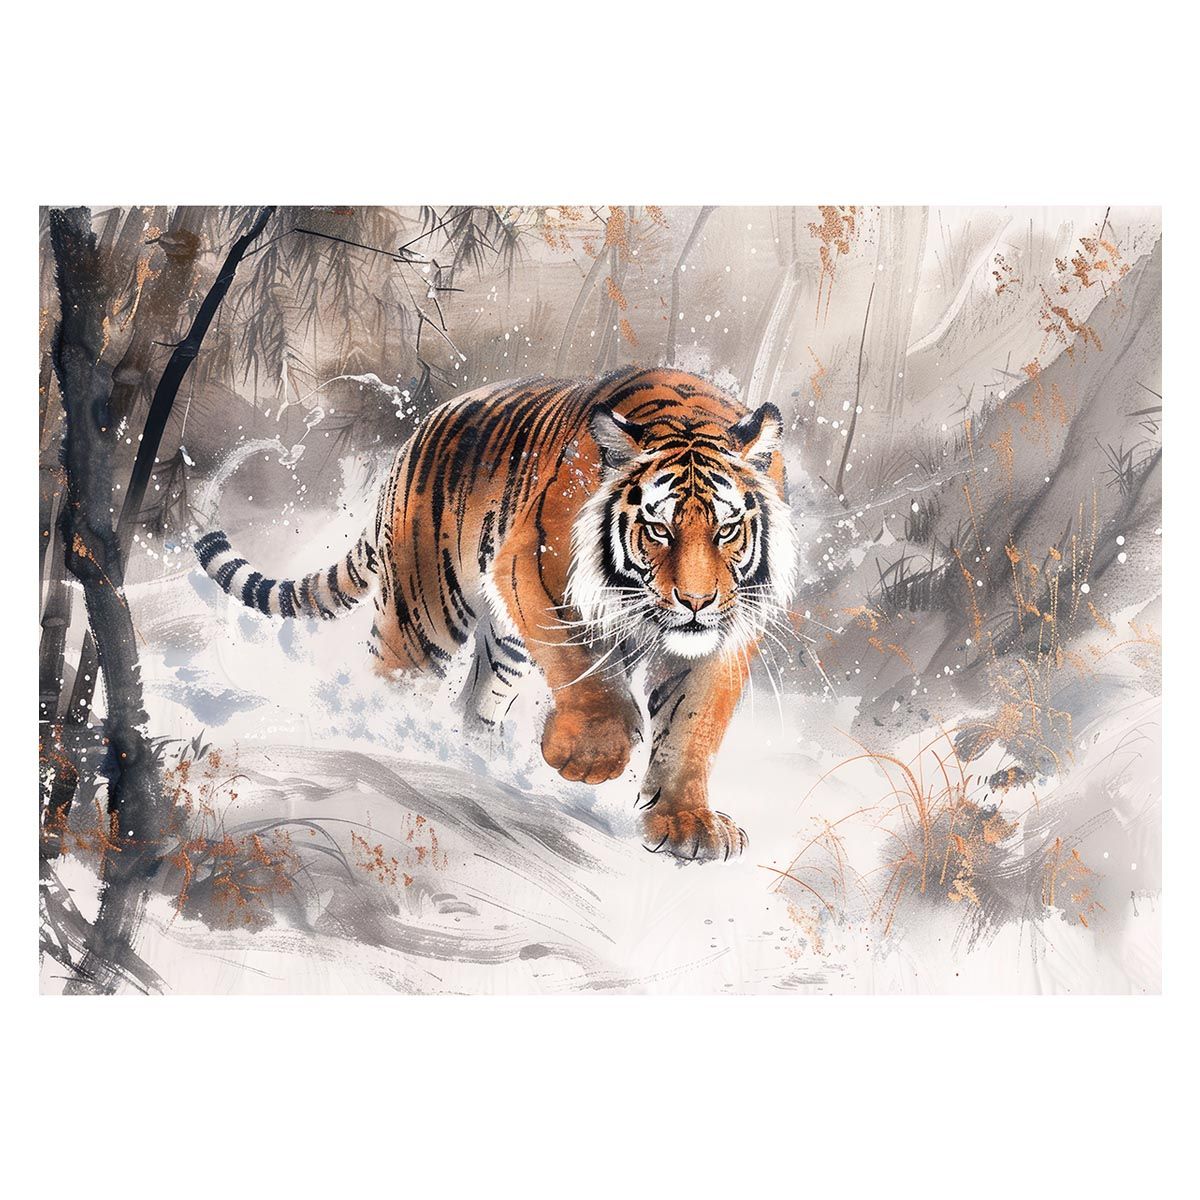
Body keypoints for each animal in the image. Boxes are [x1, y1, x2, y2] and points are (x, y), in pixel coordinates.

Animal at [194, 367, 799, 862]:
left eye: (727, 529)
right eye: (658, 529)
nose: (696, 602)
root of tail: (413, 441)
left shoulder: (725, 638)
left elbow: (692, 728)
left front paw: (686, 825)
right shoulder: (531, 571)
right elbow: (588, 674)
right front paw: (586, 756)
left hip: (502, 648)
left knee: (476, 704)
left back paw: (476, 765)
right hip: (423, 616)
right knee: (386, 680)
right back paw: (379, 744)